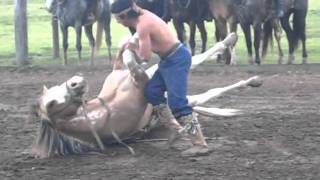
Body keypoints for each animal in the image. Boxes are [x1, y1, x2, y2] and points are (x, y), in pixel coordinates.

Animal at [29, 32, 260, 158]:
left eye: (55, 88)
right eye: (51, 104)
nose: (76, 82)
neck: (105, 107)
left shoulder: (128, 73)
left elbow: (124, 52)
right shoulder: (142, 78)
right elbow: (132, 60)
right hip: (173, 91)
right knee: (207, 87)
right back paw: (249, 78)